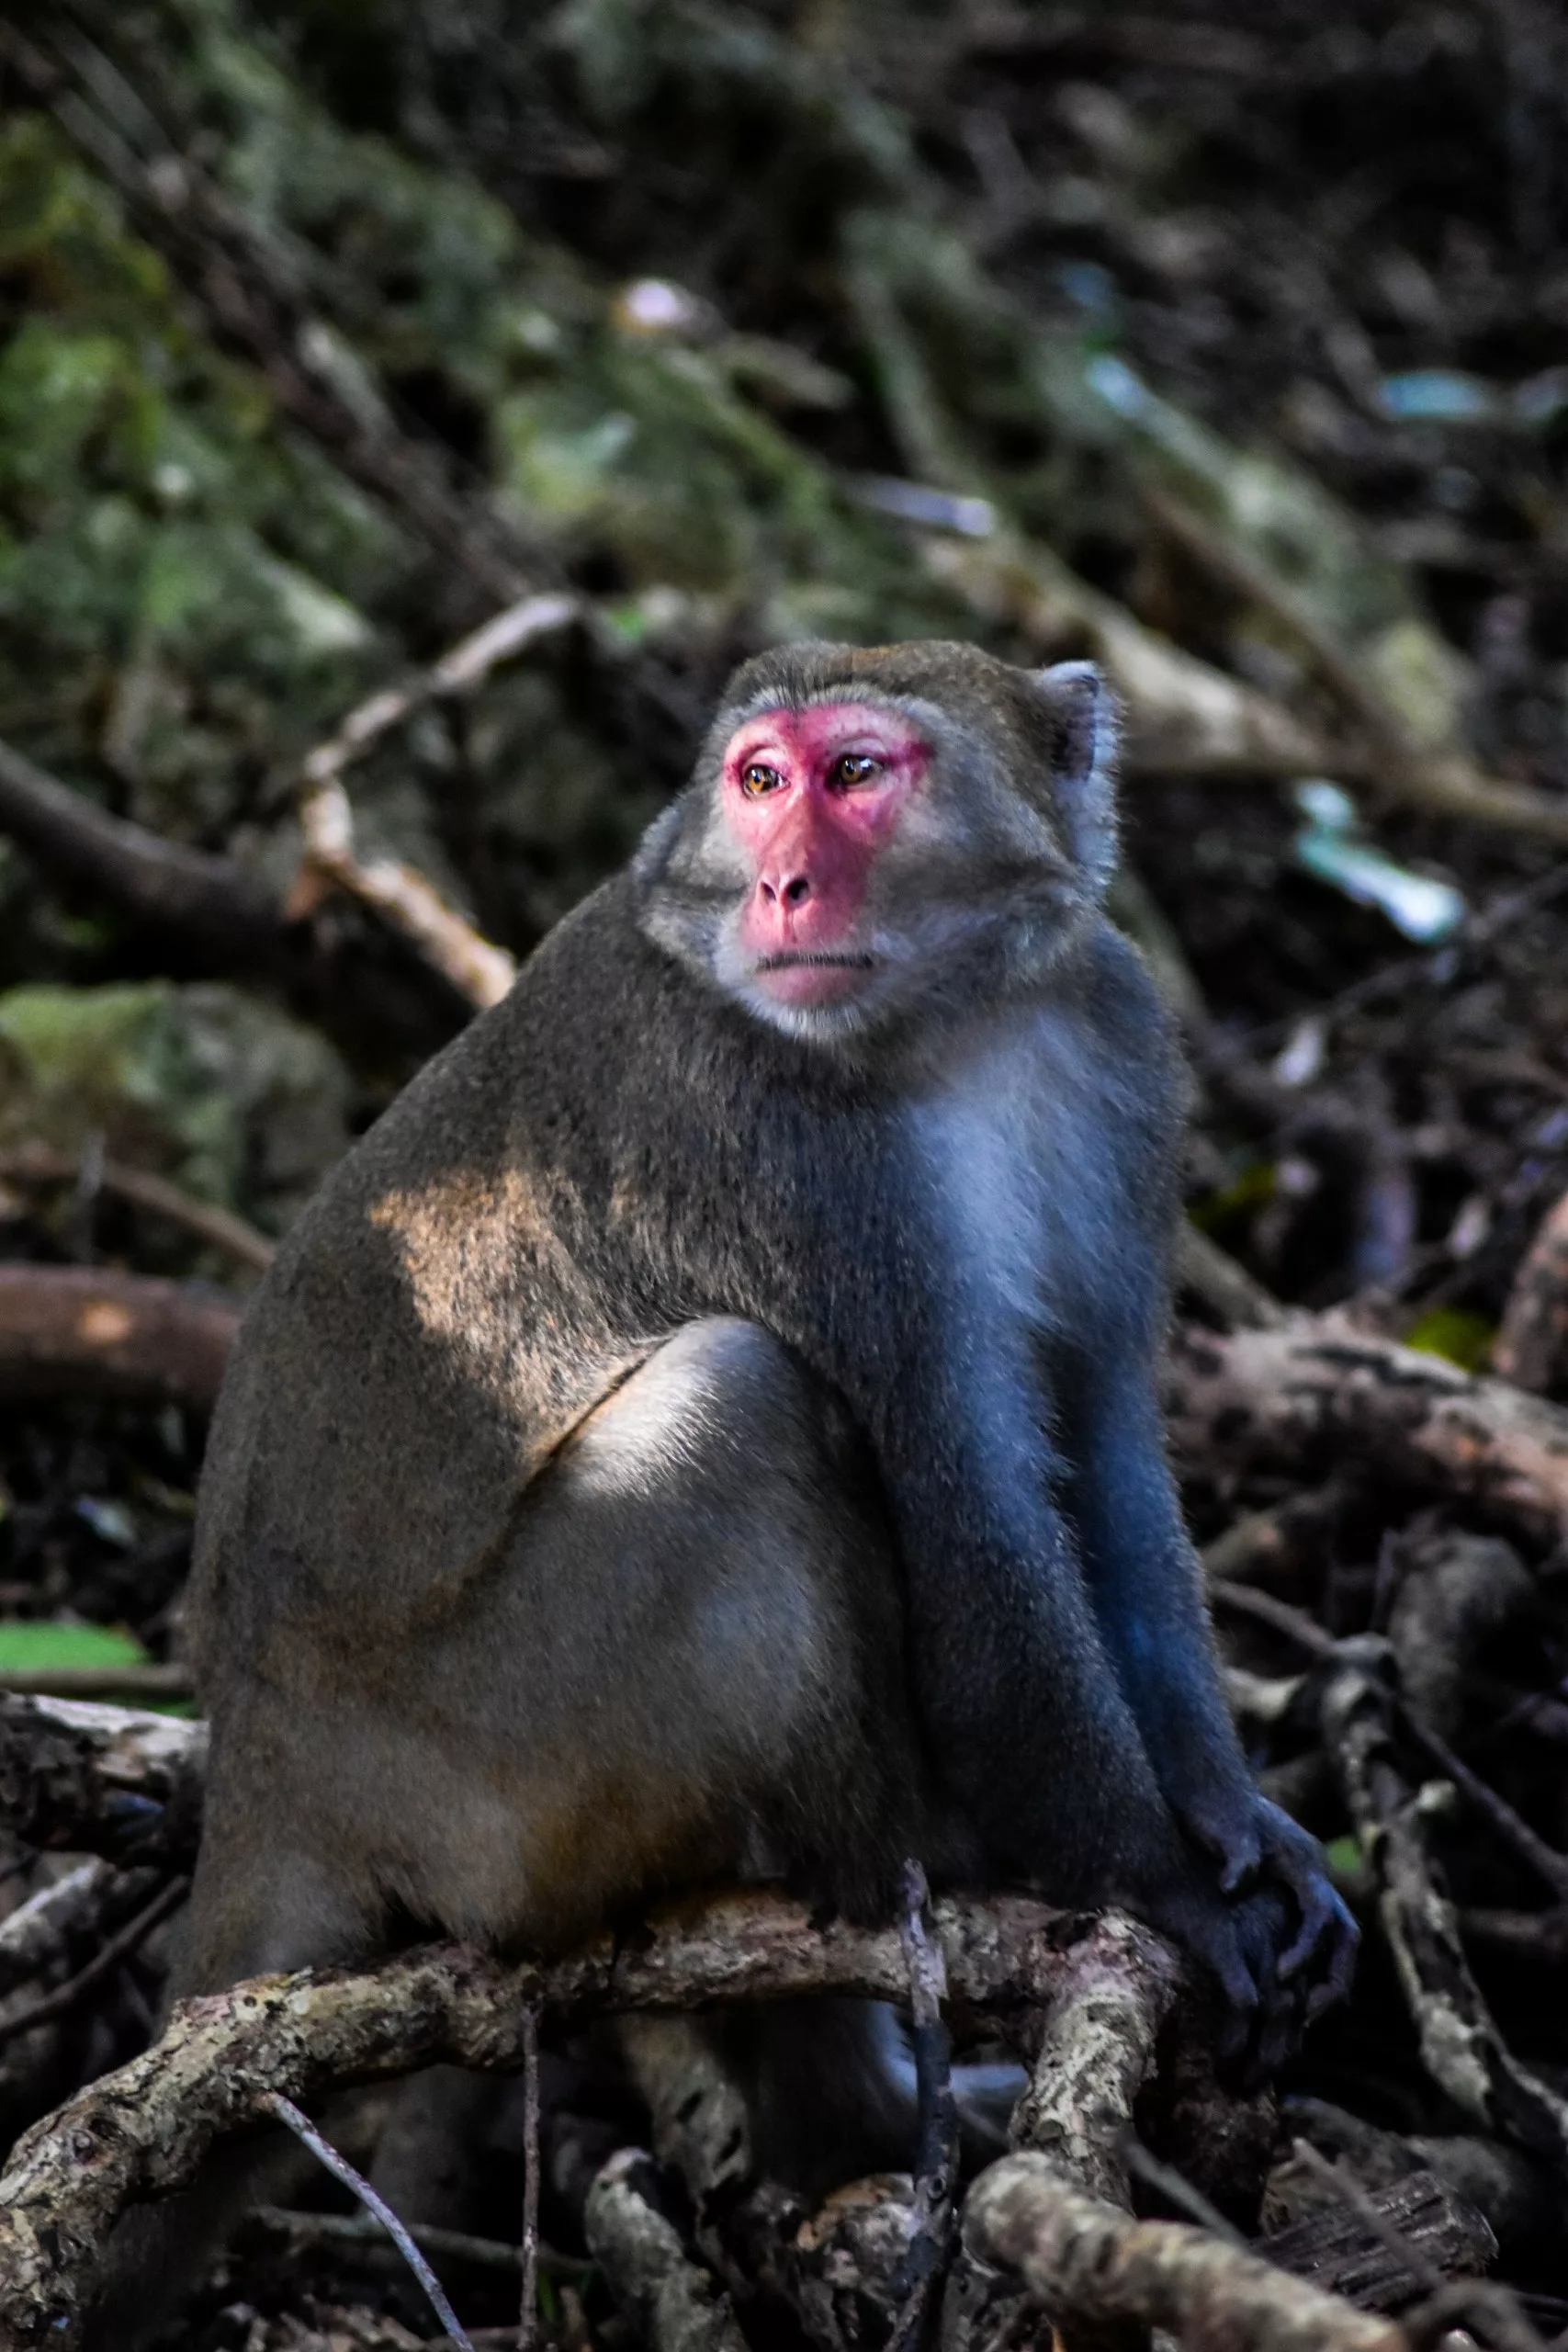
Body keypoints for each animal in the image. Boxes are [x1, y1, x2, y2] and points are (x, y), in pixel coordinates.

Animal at [92, 640, 1355, 2333]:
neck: (959, 1025)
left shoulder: (1109, 1035)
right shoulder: (806, 1162)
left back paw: (852, 2114)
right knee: (742, 1407)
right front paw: (1167, 1890)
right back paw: (891, 1911)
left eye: (856, 773)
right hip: (494, 1770)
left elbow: (1102, 1443)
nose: (783, 884)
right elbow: (970, 1525)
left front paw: (1238, 1827)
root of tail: (264, 1754)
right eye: (759, 779)